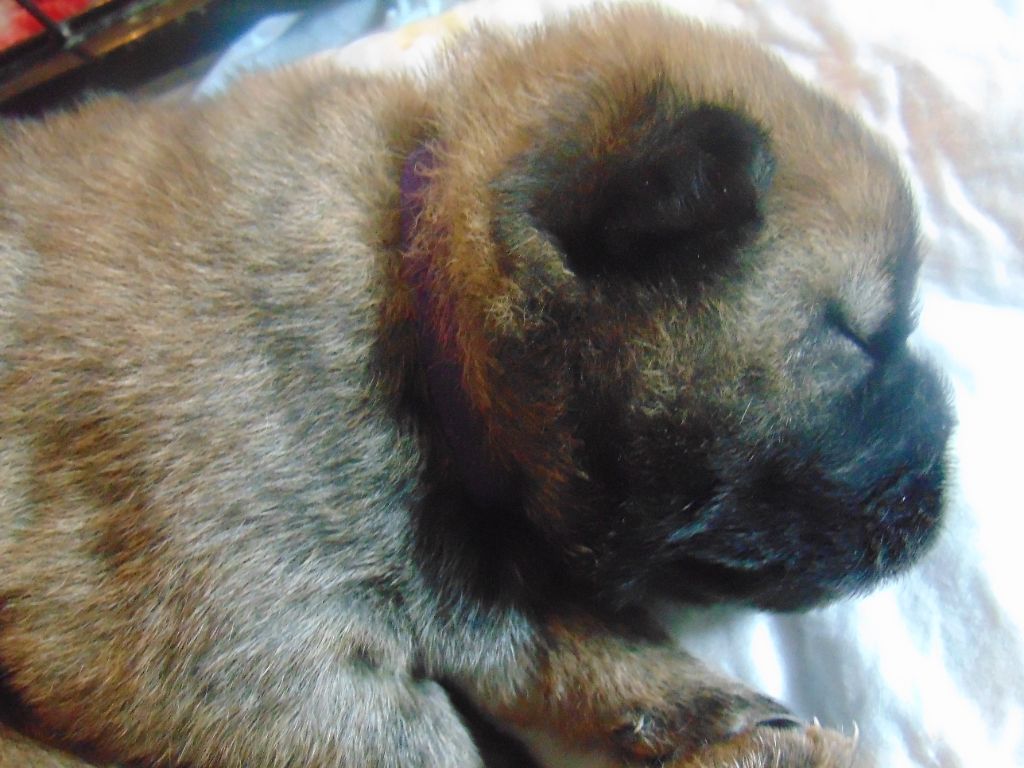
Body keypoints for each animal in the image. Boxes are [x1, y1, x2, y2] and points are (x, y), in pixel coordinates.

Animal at [0, 5, 953, 767]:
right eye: (862, 338)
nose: (942, 500)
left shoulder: (479, 577)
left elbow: (594, 649)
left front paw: (732, 727)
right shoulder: (226, 639)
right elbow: (410, 740)